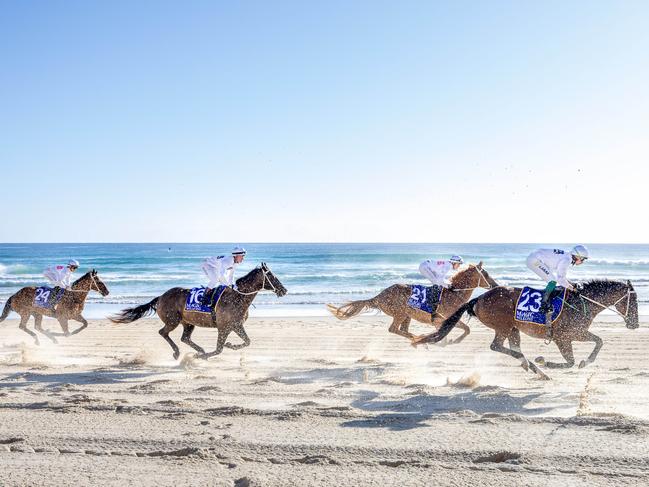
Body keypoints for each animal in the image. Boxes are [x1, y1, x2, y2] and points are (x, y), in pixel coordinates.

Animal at [109, 264, 286, 362]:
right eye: (271, 275)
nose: (284, 290)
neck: (237, 298)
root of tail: (161, 297)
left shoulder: (235, 326)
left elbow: (247, 342)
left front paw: (229, 345)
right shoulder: (224, 328)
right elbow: (219, 349)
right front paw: (201, 356)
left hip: (188, 323)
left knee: (184, 338)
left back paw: (198, 350)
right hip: (172, 320)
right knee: (163, 332)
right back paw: (179, 352)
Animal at [326, 264, 498, 344]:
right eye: (486, 273)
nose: (495, 285)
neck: (454, 294)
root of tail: (379, 296)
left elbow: (466, 329)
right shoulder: (440, 320)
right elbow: (463, 329)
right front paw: (451, 341)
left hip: (407, 315)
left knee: (402, 330)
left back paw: (417, 338)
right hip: (400, 313)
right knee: (393, 329)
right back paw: (417, 338)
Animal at [416, 278, 636, 382]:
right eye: (633, 301)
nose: (635, 325)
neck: (582, 303)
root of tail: (478, 298)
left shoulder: (577, 334)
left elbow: (598, 342)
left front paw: (585, 361)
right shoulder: (565, 337)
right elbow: (572, 360)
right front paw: (546, 361)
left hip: (513, 328)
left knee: (513, 347)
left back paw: (533, 368)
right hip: (503, 326)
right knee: (496, 346)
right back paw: (531, 364)